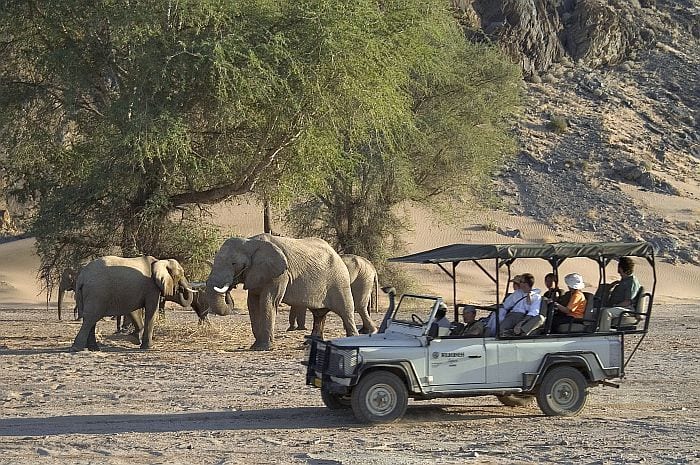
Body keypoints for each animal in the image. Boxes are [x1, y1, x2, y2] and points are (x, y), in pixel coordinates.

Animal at [205, 234, 361, 350]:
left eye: (234, 264)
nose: (230, 288)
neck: (250, 242)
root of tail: (337, 254)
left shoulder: (280, 274)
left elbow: (268, 302)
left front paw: (263, 348)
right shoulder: (256, 274)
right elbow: (253, 304)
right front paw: (255, 346)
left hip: (339, 280)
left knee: (345, 311)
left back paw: (352, 341)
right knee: (319, 314)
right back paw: (309, 344)